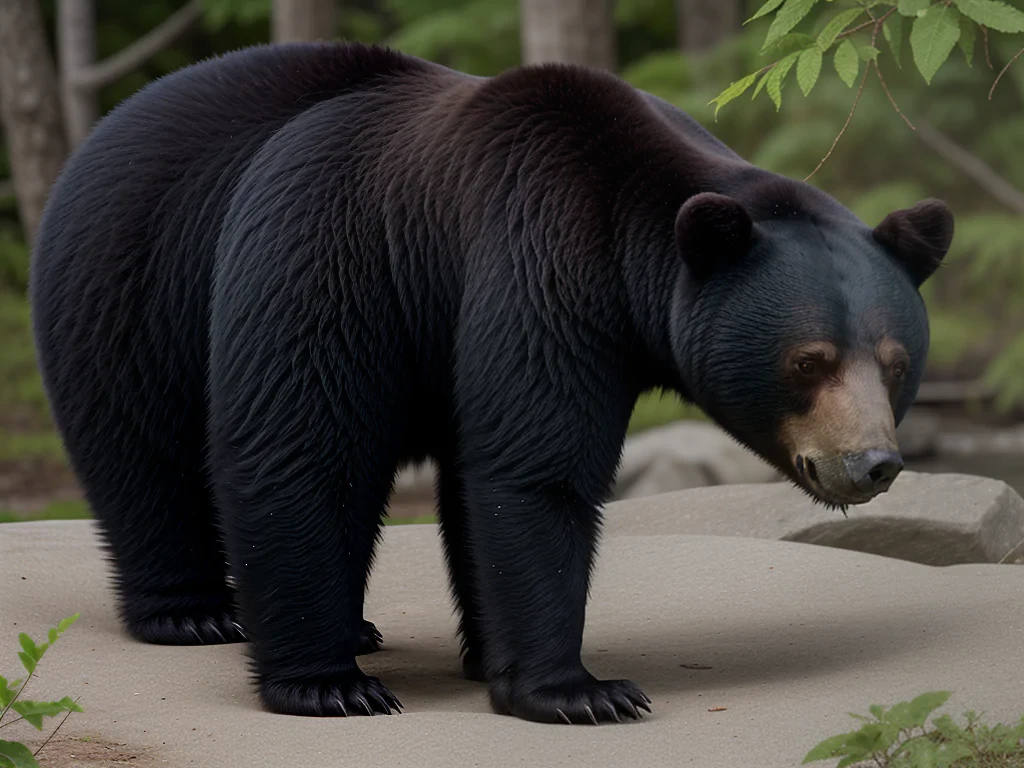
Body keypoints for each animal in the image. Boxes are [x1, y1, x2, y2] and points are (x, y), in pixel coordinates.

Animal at [30, 41, 954, 725]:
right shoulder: (527, 257)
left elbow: (485, 478)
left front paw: (494, 658)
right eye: (809, 360)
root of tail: (111, 123)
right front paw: (581, 690)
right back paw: (215, 620)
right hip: (148, 282)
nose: (871, 463)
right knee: (173, 454)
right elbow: (531, 469)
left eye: (895, 361)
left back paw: (351, 627)